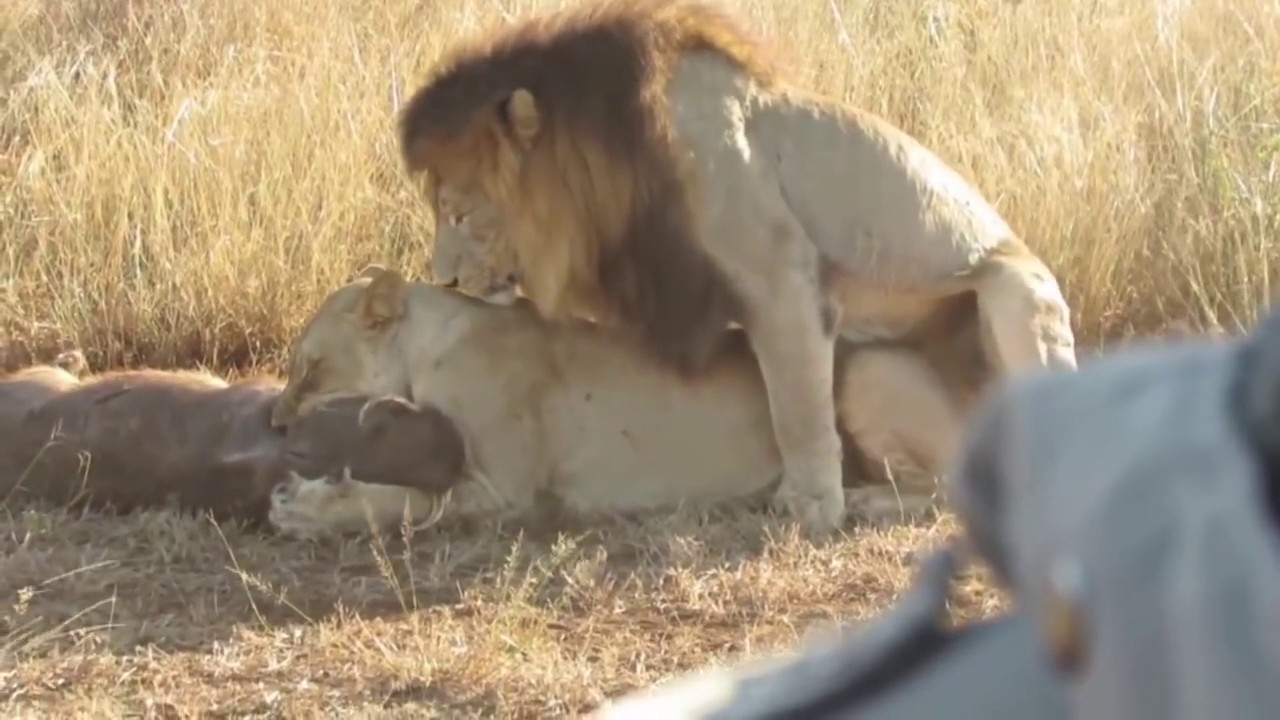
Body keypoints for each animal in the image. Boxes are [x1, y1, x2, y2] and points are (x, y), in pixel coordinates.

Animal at [267, 266, 967, 530]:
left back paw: (865, 499)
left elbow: (400, 500)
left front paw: (306, 507)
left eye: (311, 369)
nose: (273, 424)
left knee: (943, 488)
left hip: (863, 368)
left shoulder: (504, 492)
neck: (428, 344)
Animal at [394, 0, 1075, 532]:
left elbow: (796, 409)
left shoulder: (780, 278)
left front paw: (810, 507)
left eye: (458, 212)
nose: (443, 278)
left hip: (1013, 296)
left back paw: (871, 501)